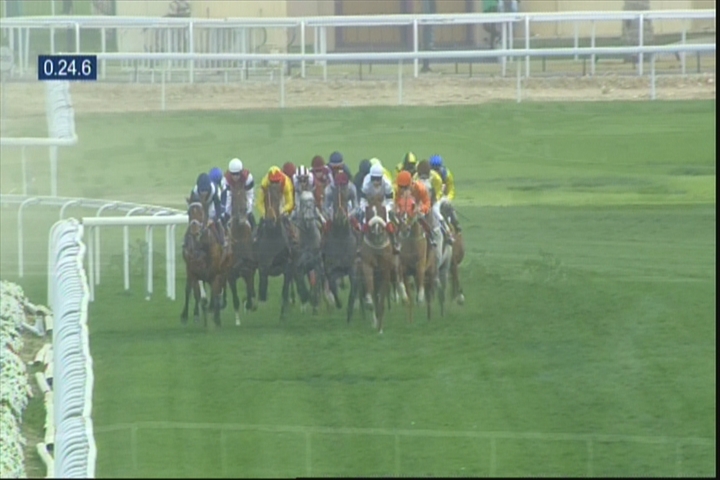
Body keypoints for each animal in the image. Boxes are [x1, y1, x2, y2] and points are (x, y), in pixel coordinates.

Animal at [180, 191, 231, 327]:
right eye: (189, 212)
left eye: (202, 211)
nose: (194, 231)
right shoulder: (192, 270)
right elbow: (191, 291)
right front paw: (187, 315)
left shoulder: (215, 272)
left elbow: (215, 290)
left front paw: (217, 318)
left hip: (224, 268)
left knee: (222, 285)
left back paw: (219, 304)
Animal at [254, 182, 296, 320]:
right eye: (265, 200)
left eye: (277, 198)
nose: (270, 220)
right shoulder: (263, 267)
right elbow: (262, 287)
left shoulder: (288, 266)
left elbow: (284, 290)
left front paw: (283, 314)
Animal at [321, 183, 358, 321]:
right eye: (334, 199)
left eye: (347, 197)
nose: (340, 217)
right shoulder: (331, 268)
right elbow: (332, 286)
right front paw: (338, 303)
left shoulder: (353, 267)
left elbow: (353, 290)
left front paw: (350, 311)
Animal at [351, 204, 394, 334]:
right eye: (370, 213)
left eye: (381, 211)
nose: (377, 229)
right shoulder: (367, 266)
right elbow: (369, 288)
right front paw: (369, 303)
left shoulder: (385, 271)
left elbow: (381, 301)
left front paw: (380, 329)